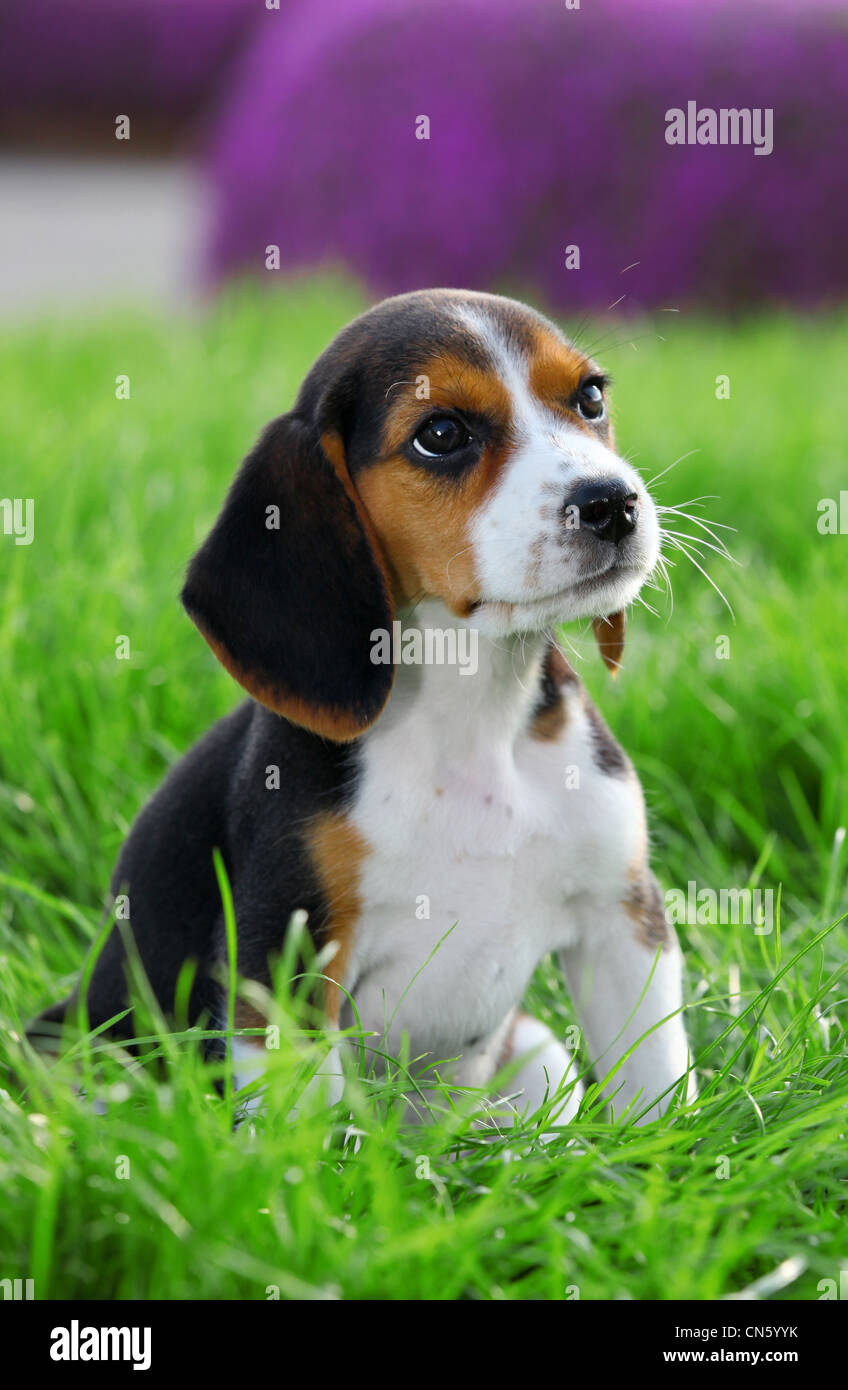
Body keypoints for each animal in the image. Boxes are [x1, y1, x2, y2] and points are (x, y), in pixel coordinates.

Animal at [33, 287, 692, 1123]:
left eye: (591, 398)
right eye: (441, 434)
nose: (612, 502)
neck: (471, 713)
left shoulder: (623, 922)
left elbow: (658, 1085)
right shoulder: (286, 965)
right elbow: (310, 1132)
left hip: (538, 1055)